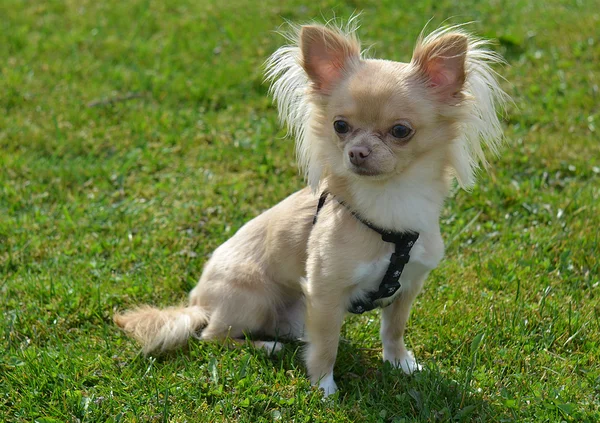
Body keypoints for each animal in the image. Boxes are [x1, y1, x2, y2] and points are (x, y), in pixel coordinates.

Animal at [116, 19, 506, 398]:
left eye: (400, 131)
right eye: (340, 126)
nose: (357, 152)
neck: (388, 203)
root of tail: (197, 300)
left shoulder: (407, 286)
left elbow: (393, 330)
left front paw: (401, 364)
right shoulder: (325, 292)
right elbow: (327, 345)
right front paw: (324, 388)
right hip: (253, 297)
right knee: (213, 336)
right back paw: (266, 347)